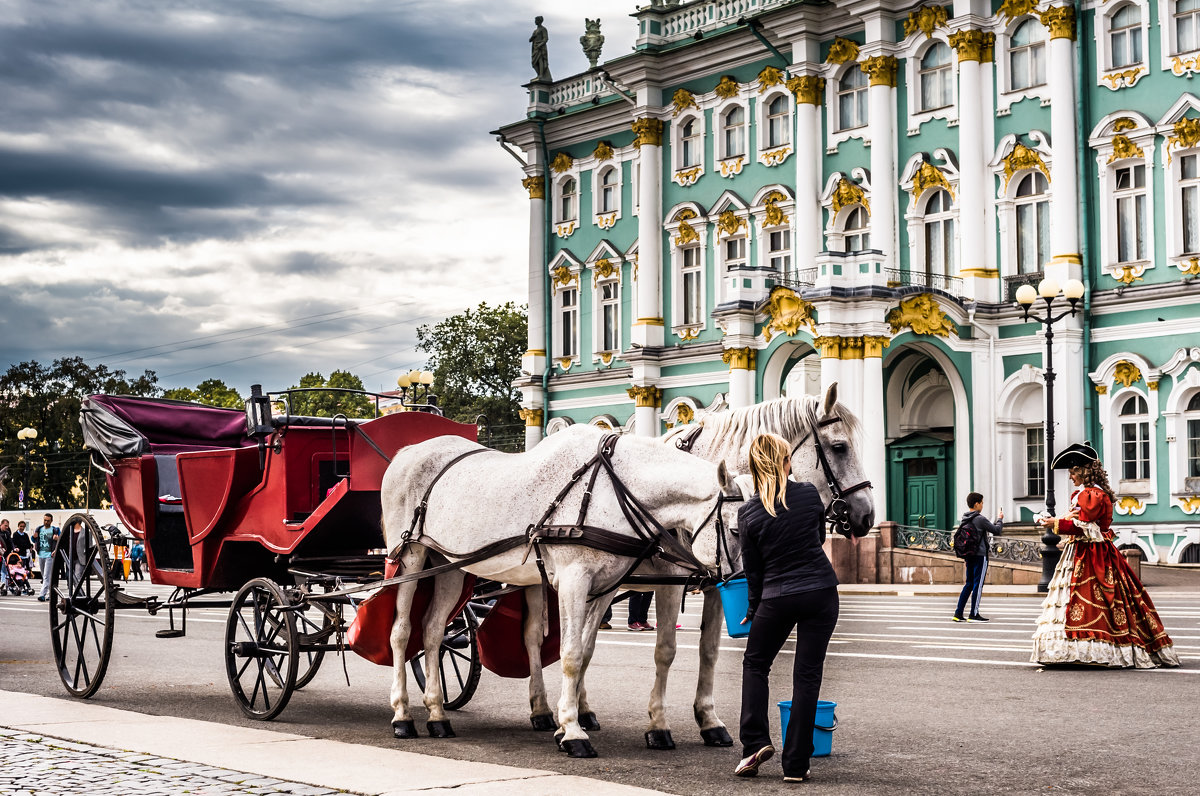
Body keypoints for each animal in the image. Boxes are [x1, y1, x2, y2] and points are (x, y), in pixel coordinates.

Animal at [384, 427, 739, 758]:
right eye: (737, 528)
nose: (740, 583)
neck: (611, 488)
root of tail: (406, 451)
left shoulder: (605, 584)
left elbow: (591, 650)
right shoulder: (577, 580)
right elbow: (574, 655)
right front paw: (573, 731)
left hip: (449, 568)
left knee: (433, 631)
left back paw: (437, 714)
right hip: (408, 560)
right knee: (401, 632)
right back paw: (402, 715)